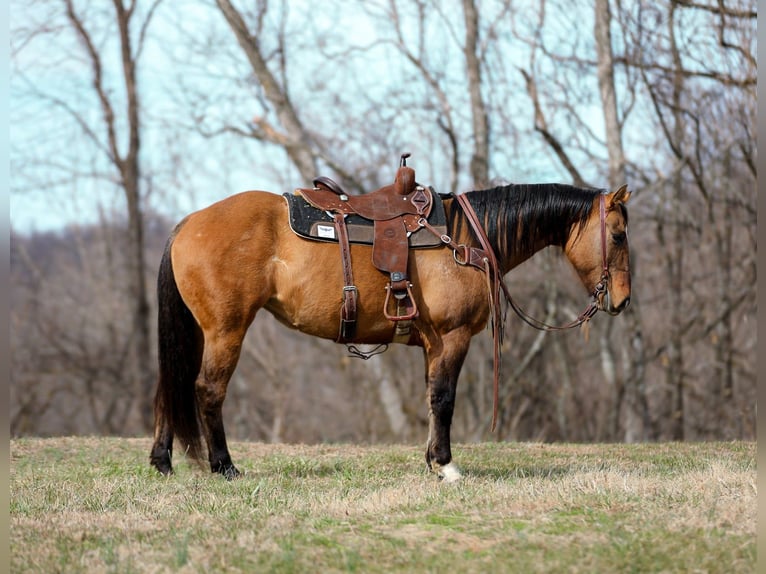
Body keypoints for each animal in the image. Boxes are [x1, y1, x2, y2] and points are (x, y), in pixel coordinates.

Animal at [149, 180, 631, 482]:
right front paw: (446, 466)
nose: (622, 300)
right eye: (619, 234)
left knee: (168, 389)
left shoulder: (432, 345)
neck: (466, 240)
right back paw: (224, 466)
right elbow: (444, 400)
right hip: (225, 330)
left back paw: (161, 462)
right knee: (208, 390)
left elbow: (432, 399)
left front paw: (431, 461)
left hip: (198, 332)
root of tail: (189, 223)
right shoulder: (453, 337)